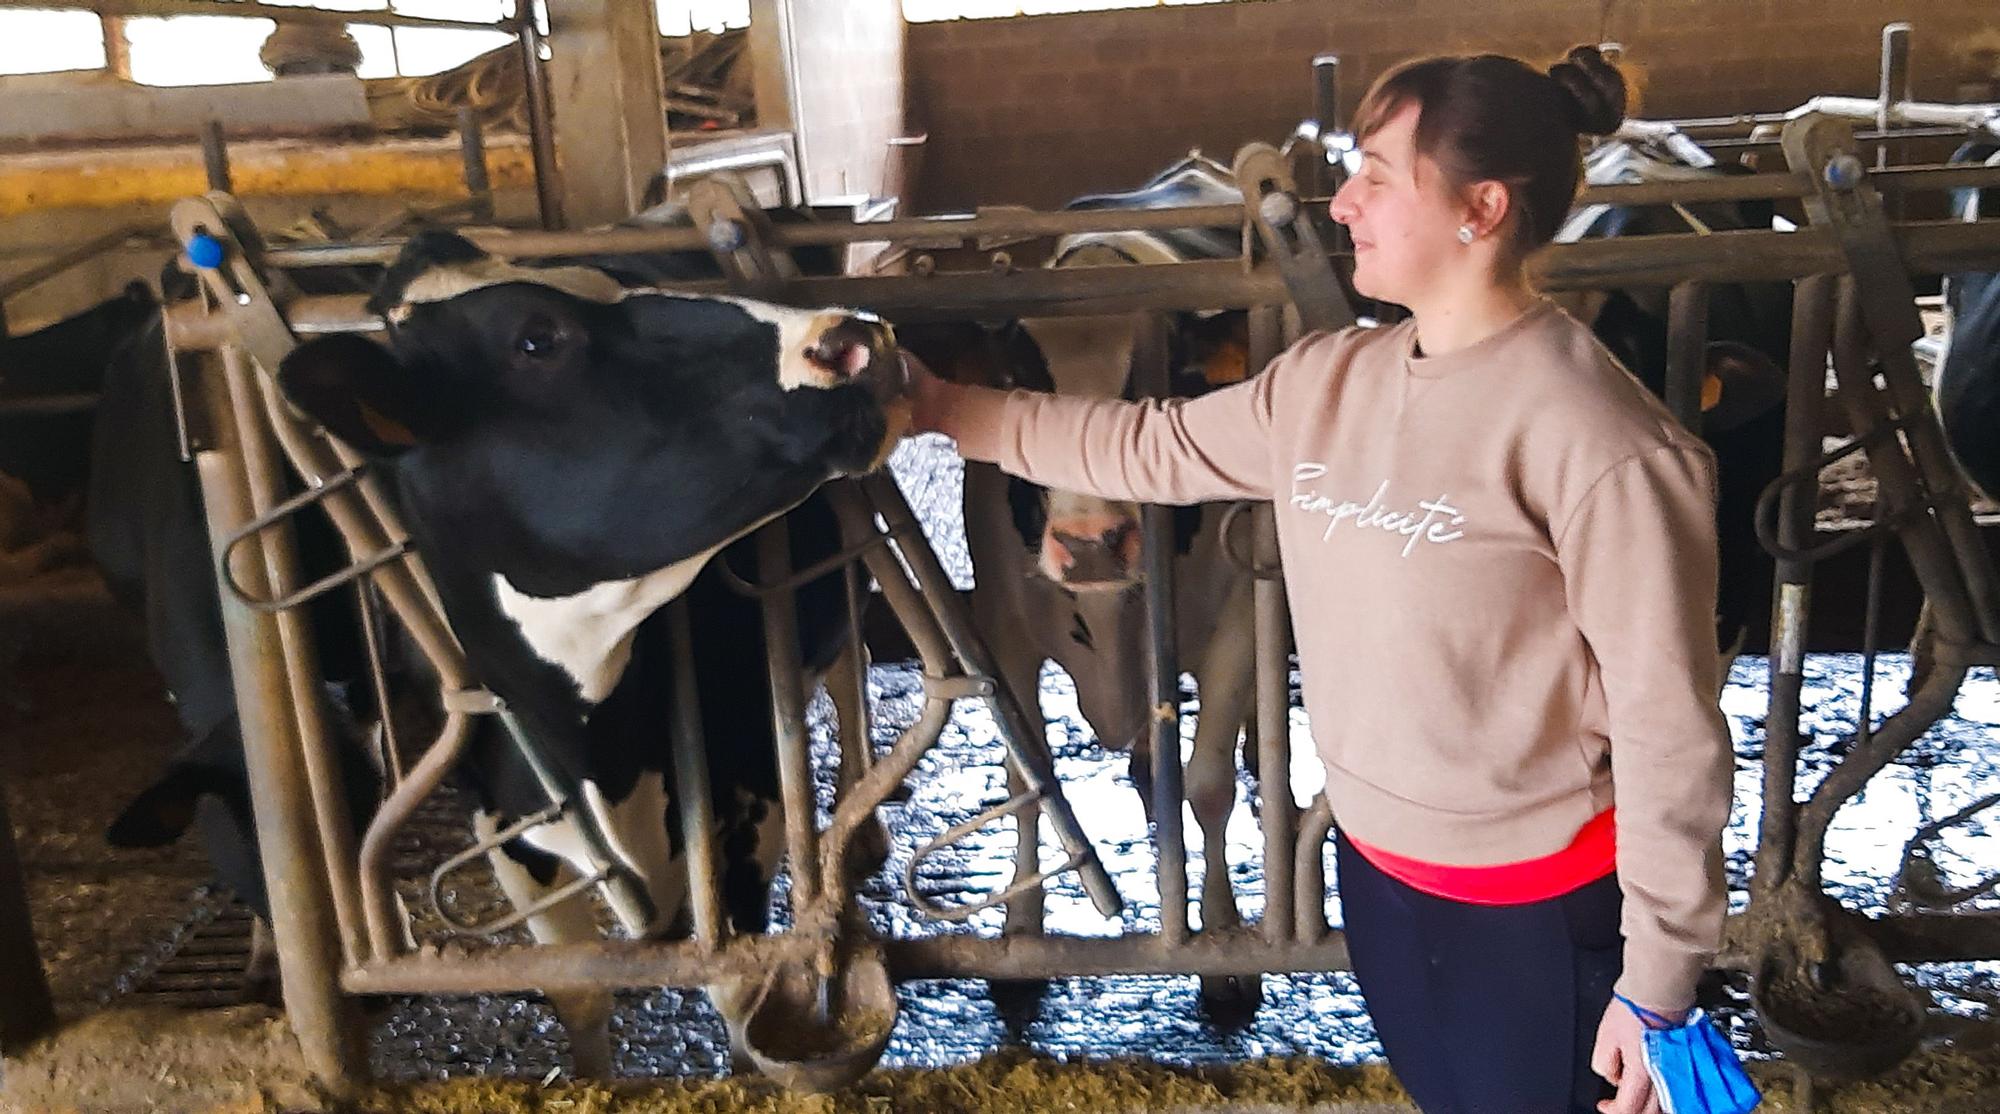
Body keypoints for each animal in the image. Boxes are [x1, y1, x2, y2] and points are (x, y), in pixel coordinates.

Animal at [280, 232, 908, 1072]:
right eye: (536, 340)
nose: (851, 337)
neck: (591, 741)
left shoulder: (748, 793)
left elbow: (741, 998)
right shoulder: (507, 827)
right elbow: (577, 988)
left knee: (849, 674)